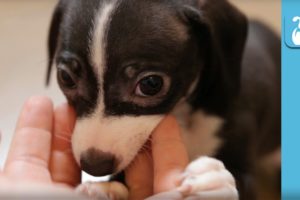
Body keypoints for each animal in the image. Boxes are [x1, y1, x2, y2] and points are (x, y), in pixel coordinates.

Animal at [47, 0, 282, 199]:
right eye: (66, 77)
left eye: (151, 84)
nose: (94, 167)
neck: (185, 113)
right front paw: (106, 188)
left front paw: (214, 183)